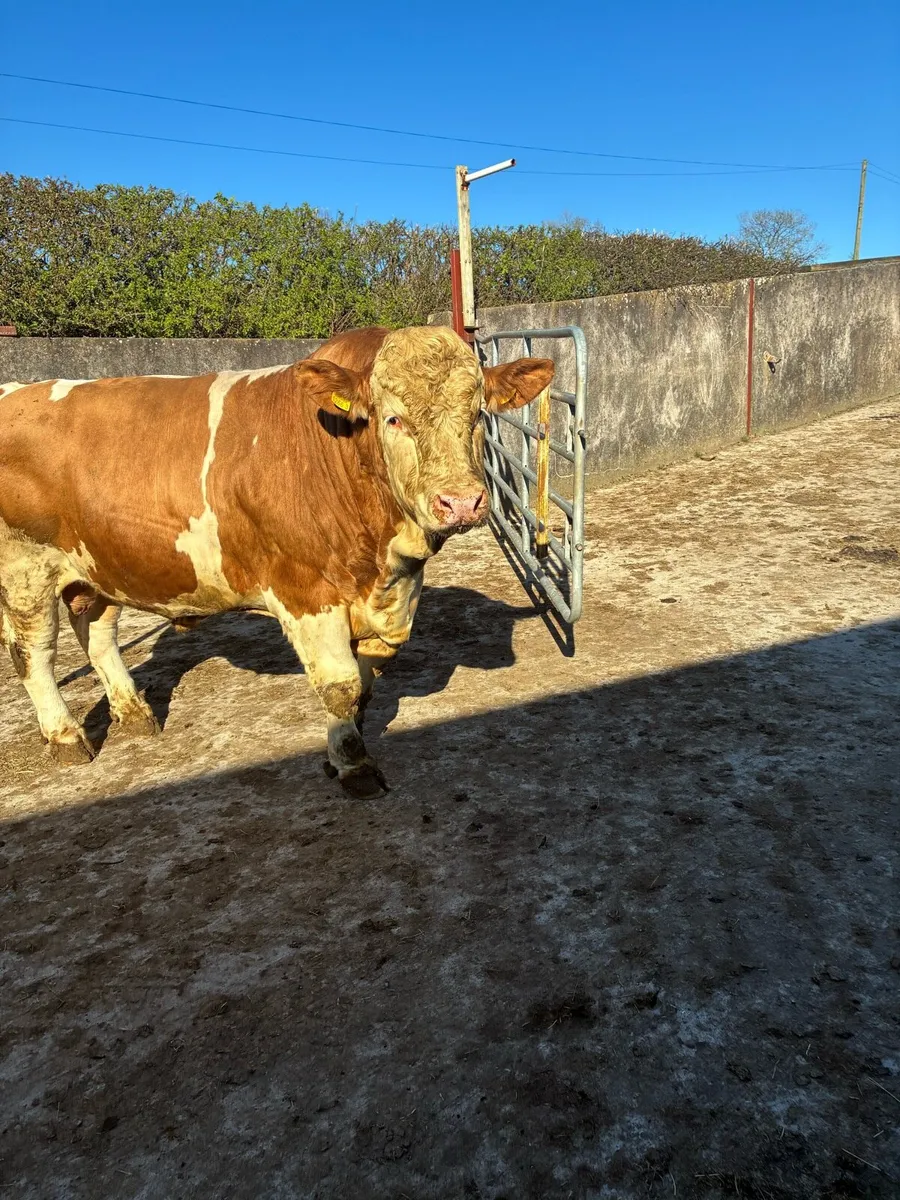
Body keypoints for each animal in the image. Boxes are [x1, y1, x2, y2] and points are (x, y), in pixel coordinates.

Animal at [0, 327, 553, 796]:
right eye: (393, 417)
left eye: (477, 415)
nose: (461, 502)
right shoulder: (305, 590)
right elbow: (341, 685)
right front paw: (353, 764)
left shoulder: (393, 594)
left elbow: (367, 679)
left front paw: (348, 740)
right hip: (25, 571)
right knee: (33, 654)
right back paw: (67, 738)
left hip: (100, 565)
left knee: (97, 634)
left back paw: (135, 715)